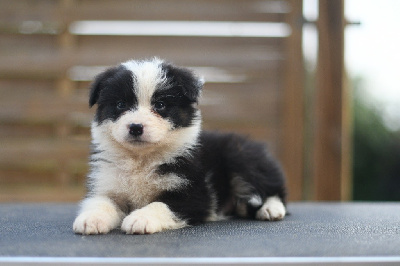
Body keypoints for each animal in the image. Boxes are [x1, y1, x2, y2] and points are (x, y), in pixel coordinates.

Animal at [73, 58, 286, 235]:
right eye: (120, 104)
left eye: (160, 105)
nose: (135, 127)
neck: (141, 159)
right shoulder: (108, 185)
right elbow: (100, 201)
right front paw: (90, 219)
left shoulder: (194, 194)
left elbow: (161, 204)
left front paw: (140, 218)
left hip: (241, 155)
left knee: (275, 189)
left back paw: (271, 209)